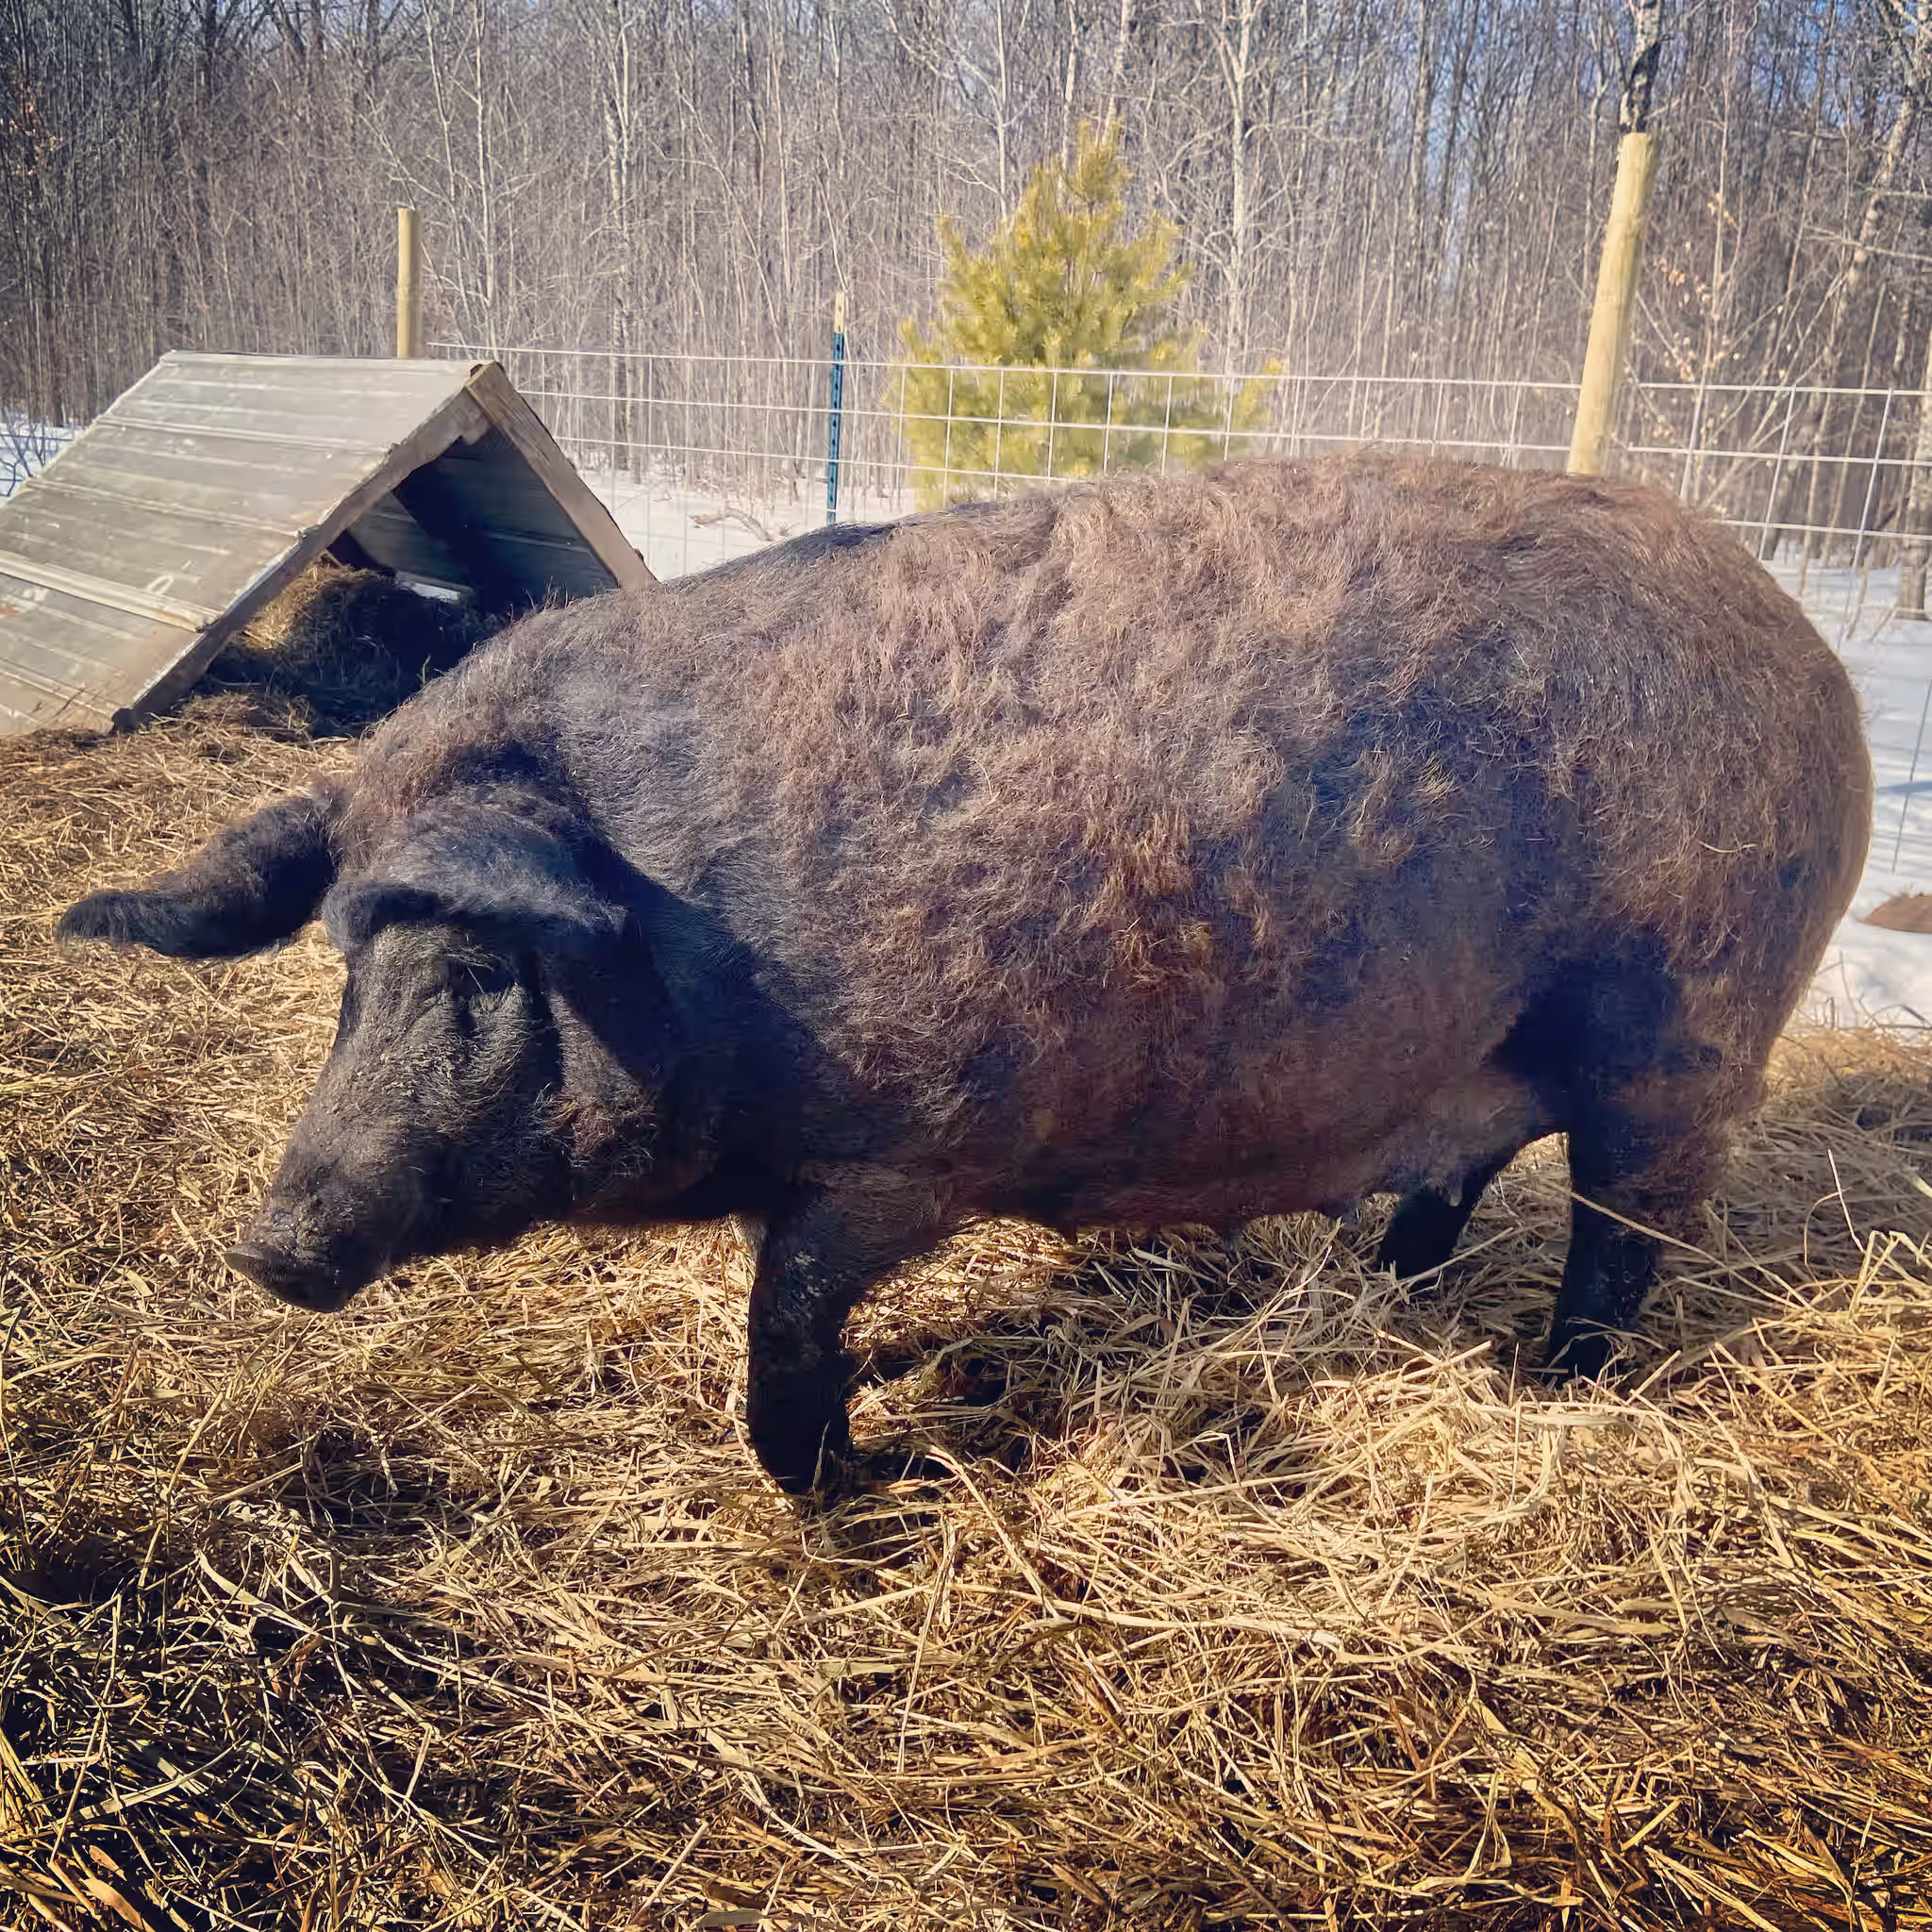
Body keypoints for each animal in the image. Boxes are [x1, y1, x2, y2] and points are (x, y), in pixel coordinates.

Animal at [59, 456, 1873, 1493]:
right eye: (343, 970)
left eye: (480, 973)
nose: (272, 1242)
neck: (697, 942)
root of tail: (1813, 656)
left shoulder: (908, 1145)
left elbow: (789, 1310)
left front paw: (859, 1484)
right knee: (1469, 1167)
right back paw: (1394, 1286)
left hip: (1683, 1033)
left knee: (1624, 1231)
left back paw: (1550, 1381)